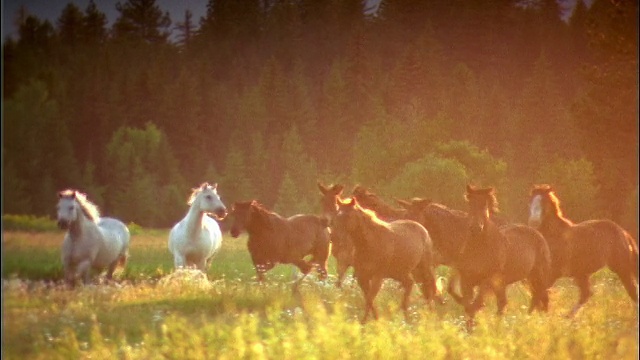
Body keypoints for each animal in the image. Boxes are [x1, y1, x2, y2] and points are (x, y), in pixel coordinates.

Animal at [456, 186, 552, 318]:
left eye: (485, 205)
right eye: (470, 204)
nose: (476, 227)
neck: (479, 249)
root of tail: (538, 234)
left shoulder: (488, 280)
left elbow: (476, 304)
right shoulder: (466, 280)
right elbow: (469, 306)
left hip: (538, 277)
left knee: (542, 298)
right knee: (510, 303)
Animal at [528, 184, 636, 316]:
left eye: (544, 201)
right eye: (531, 201)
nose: (533, 222)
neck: (554, 236)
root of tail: (623, 233)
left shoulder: (552, 274)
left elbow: (539, 296)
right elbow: (539, 296)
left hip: (621, 268)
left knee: (632, 291)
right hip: (582, 273)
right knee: (586, 294)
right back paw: (568, 317)